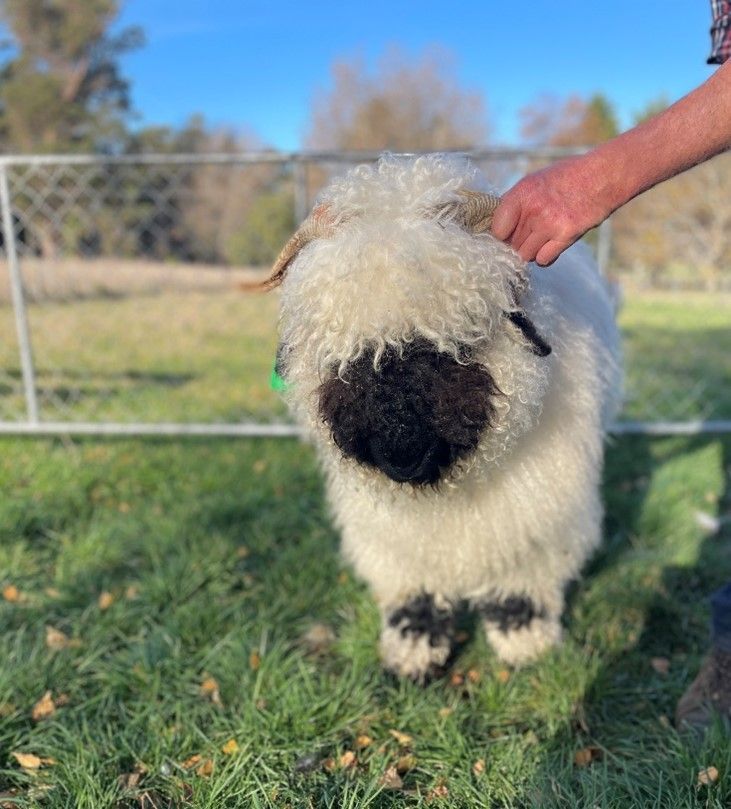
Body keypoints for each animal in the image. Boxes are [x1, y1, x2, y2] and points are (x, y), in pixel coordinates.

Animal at [260, 153, 620, 680]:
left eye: (458, 344)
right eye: (344, 356)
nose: (400, 451)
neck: (447, 496)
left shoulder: (541, 505)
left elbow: (523, 575)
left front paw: (523, 639)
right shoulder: (395, 536)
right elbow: (415, 586)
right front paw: (414, 646)